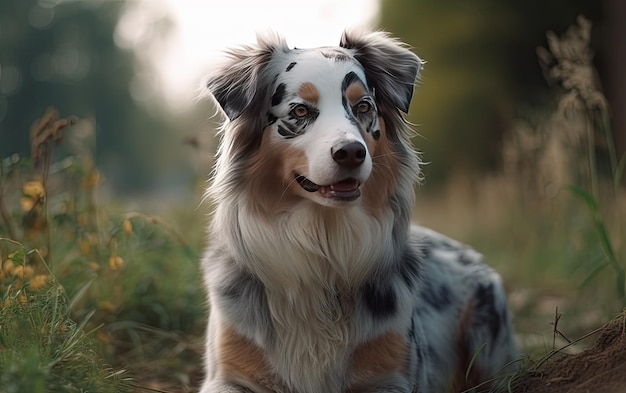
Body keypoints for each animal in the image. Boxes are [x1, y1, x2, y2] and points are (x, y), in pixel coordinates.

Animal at [200, 31, 516, 392]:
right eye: (300, 111)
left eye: (363, 106)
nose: (351, 152)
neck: (324, 244)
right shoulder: (228, 371)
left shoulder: (393, 373)